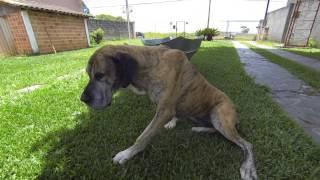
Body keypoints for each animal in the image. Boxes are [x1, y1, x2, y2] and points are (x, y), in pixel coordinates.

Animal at [80, 45, 258, 180]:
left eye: (100, 75)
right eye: (89, 75)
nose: (83, 99)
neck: (149, 67)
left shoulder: (164, 110)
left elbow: (142, 137)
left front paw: (126, 154)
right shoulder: (164, 109)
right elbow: (171, 116)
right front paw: (172, 122)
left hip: (219, 114)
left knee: (246, 144)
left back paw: (248, 167)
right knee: (215, 130)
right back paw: (199, 129)